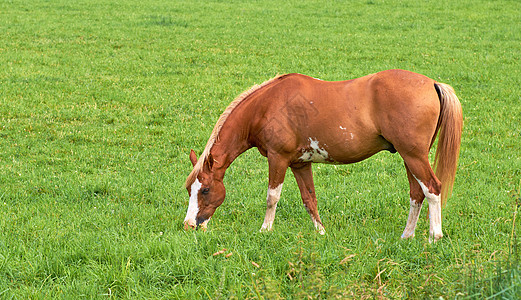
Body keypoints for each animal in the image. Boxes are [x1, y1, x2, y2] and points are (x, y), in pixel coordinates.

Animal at [185, 69, 462, 241]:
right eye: (190, 190)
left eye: (205, 189)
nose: (190, 225)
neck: (266, 106)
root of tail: (432, 84)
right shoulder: (299, 164)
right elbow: (309, 199)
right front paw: (320, 233)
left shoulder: (278, 159)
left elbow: (272, 197)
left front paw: (265, 230)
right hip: (409, 157)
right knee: (417, 194)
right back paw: (407, 235)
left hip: (414, 156)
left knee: (432, 189)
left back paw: (434, 237)